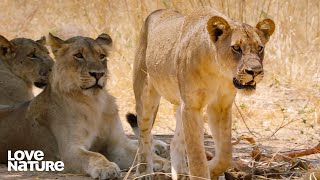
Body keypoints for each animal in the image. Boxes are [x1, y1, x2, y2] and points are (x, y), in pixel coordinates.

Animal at [0, 33, 170, 179]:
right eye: (78, 56)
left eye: (102, 56)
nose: (98, 74)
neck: (95, 102)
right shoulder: (69, 152)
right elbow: (94, 155)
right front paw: (107, 168)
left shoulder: (117, 146)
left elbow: (139, 153)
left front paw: (164, 164)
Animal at [131, 7, 276, 179]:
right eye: (236, 48)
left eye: (260, 48)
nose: (255, 71)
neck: (218, 72)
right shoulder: (192, 107)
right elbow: (196, 155)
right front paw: (203, 172)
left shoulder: (220, 106)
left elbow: (225, 153)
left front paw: (211, 169)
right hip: (146, 96)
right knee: (144, 137)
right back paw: (143, 172)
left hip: (180, 105)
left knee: (174, 143)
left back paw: (181, 173)